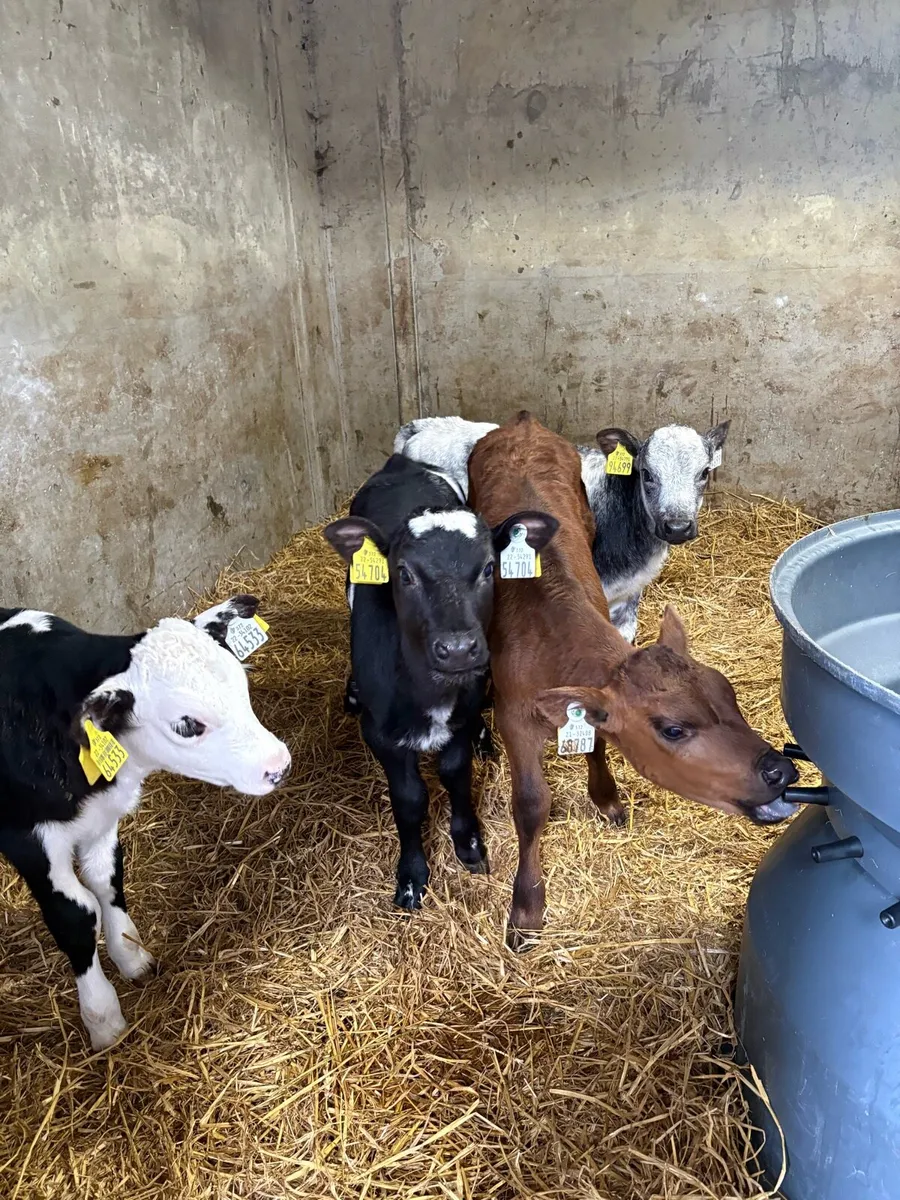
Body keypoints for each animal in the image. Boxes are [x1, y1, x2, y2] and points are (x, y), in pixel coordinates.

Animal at [0, 596, 291, 1050]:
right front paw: (103, 1017)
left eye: (242, 687)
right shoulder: (29, 842)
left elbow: (107, 882)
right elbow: (75, 916)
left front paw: (131, 955)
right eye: (187, 725)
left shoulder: (102, 820)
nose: (278, 765)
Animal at [324, 454, 556, 910]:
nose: (459, 649)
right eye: (403, 573)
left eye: (489, 568)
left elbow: (455, 772)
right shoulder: (380, 733)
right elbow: (410, 798)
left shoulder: (461, 715)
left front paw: (468, 841)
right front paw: (412, 874)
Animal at [467, 413, 798, 947]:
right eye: (673, 729)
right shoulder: (515, 717)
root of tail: (523, 422)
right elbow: (532, 806)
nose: (780, 770)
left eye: (729, 693)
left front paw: (607, 798)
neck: (550, 630)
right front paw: (526, 909)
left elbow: (597, 741)